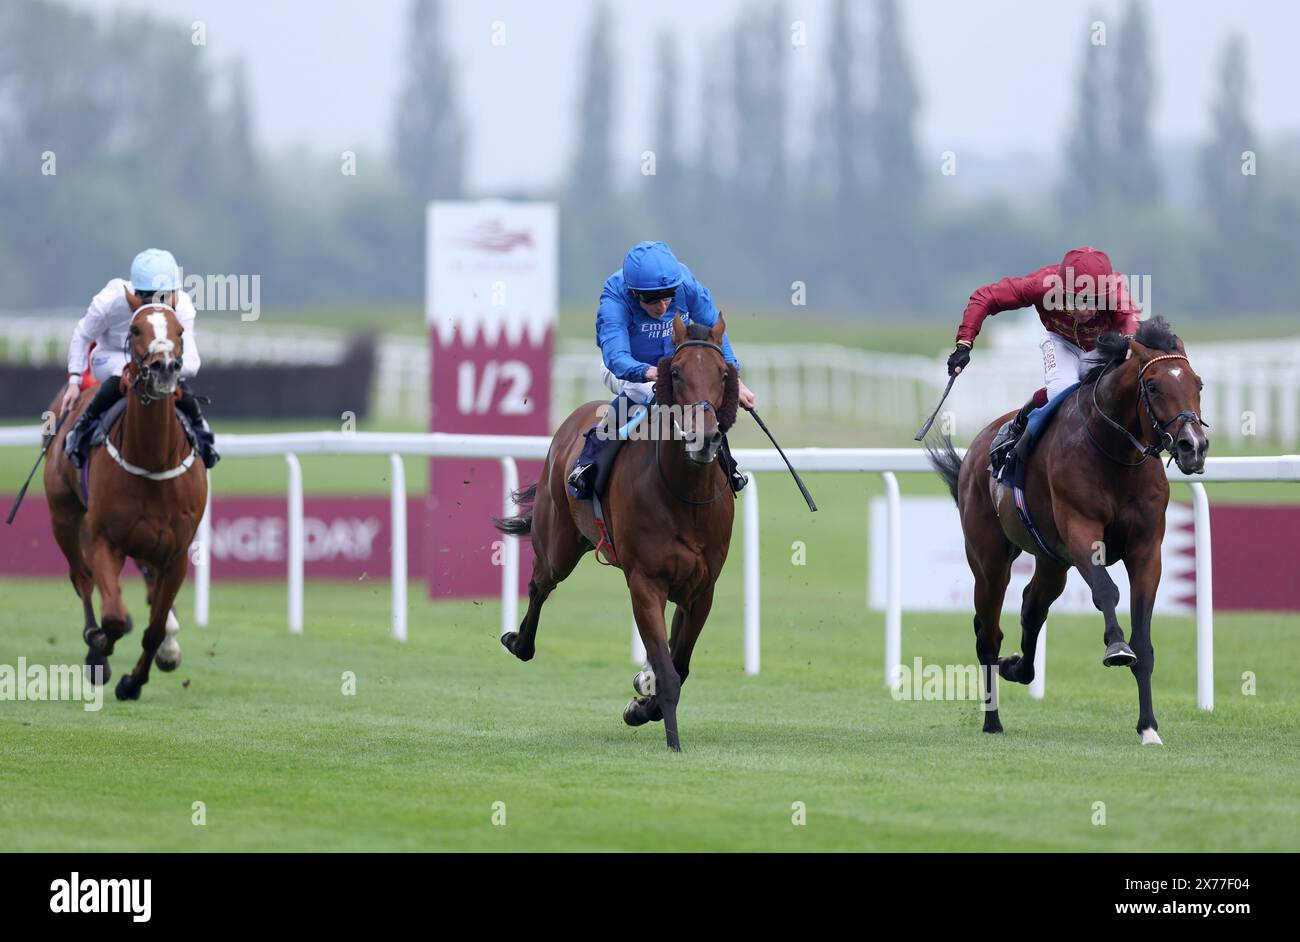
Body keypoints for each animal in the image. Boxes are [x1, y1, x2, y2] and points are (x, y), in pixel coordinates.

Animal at [43, 297, 208, 701]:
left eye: (180, 330)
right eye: (135, 329)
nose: (165, 367)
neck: (152, 460)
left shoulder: (176, 553)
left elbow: (154, 628)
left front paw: (134, 681)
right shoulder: (104, 539)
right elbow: (114, 617)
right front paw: (99, 651)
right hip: (64, 516)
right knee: (82, 578)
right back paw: (95, 644)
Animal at [491, 315, 738, 748]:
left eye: (723, 373)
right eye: (675, 372)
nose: (704, 438)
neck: (686, 497)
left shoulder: (701, 589)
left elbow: (679, 663)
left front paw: (643, 702)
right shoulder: (645, 582)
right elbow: (669, 673)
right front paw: (670, 740)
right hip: (558, 543)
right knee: (540, 584)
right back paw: (518, 642)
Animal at [925, 315, 1206, 743]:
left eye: (1198, 384)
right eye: (1155, 386)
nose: (1194, 446)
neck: (1116, 456)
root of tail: (976, 450)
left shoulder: (1147, 549)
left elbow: (1144, 642)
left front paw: (1149, 728)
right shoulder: (1080, 530)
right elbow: (1106, 591)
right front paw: (1115, 647)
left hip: (1051, 560)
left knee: (1032, 606)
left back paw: (1017, 667)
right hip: (989, 561)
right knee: (989, 633)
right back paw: (992, 719)